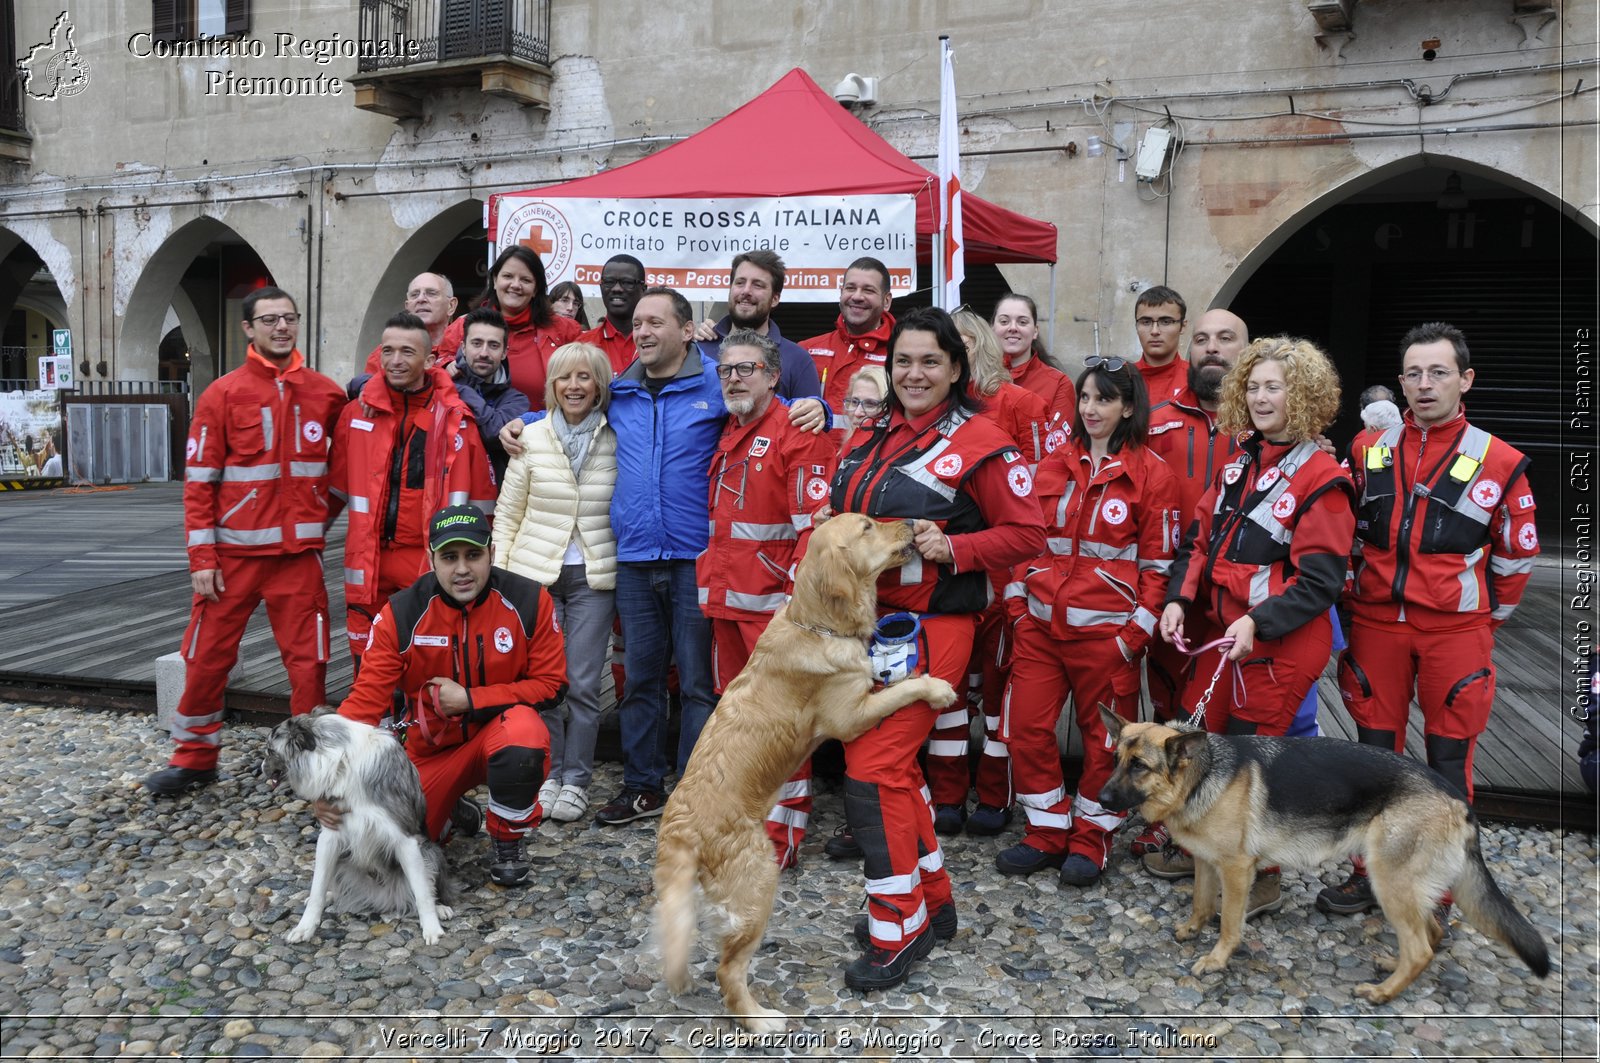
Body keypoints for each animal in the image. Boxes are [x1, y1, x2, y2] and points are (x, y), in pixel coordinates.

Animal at [259, 710, 454, 941]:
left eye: (269, 750)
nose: (261, 768)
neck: (342, 763)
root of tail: (384, 897)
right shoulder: (329, 837)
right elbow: (317, 888)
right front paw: (304, 927)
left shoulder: (405, 839)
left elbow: (422, 892)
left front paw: (432, 928)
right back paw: (331, 895)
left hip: (430, 851)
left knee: (428, 887)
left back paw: (441, 907)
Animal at [652, 515, 953, 1030]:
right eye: (868, 526)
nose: (913, 522)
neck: (818, 623)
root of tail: (681, 829)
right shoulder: (851, 716)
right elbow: (902, 688)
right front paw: (935, 689)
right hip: (759, 885)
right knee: (729, 971)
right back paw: (760, 1021)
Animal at [1100, 710, 1548, 998]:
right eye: (1117, 759)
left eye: (1140, 766)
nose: (1100, 799)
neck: (1203, 773)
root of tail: (1459, 799)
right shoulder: (1207, 863)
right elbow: (1200, 902)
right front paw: (1193, 930)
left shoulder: (1236, 869)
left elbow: (1227, 922)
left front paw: (1216, 960)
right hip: (1406, 887)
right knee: (1430, 936)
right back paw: (1394, 969)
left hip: (1389, 882)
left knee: (1421, 947)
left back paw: (1383, 992)